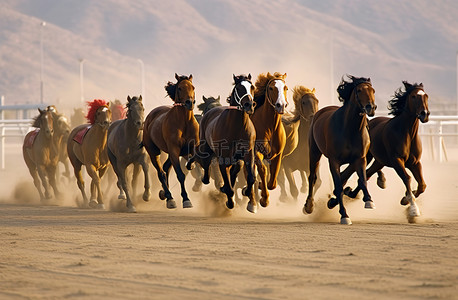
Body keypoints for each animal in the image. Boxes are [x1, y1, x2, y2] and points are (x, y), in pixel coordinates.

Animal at [143, 73, 199, 209]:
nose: (189, 102)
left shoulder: (194, 145)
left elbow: (194, 158)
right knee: (161, 172)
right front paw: (186, 199)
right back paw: (169, 197)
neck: (184, 122)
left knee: (165, 167)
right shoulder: (174, 149)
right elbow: (180, 175)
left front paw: (190, 164)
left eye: (193, 87)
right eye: (179, 88)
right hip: (153, 151)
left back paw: (165, 193)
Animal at [187, 74, 258, 212]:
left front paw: (247, 194)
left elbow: (251, 178)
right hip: (205, 145)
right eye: (239, 88)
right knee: (202, 159)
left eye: (252, 87)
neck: (237, 127)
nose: (249, 105)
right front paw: (230, 202)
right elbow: (229, 188)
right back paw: (193, 167)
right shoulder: (223, 159)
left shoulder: (248, 154)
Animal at [250, 72, 286, 209]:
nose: (281, 105)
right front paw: (264, 199)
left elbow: (273, 181)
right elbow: (263, 170)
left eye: (285, 88)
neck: (270, 127)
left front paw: (262, 185)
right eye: (271, 88)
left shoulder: (277, 155)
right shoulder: (257, 152)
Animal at [302, 75, 378, 225]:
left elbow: (361, 180)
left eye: (373, 90)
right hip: (314, 152)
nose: (370, 107)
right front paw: (344, 215)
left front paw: (369, 200)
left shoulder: (360, 159)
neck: (349, 130)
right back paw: (309, 206)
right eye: (359, 90)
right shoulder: (334, 161)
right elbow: (338, 187)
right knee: (312, 177)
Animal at [344, 82, 430, 220]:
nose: (424, 114)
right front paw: (413, 209)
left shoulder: (415, 163)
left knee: (367, 174)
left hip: (379, 161)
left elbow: (422, 185)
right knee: (362, 173)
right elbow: (407, 178)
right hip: (368, 156)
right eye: (413, 96)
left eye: (426, 96)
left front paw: (405, 199)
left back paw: (353, 192)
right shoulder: (397, 160)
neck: (407, 133)